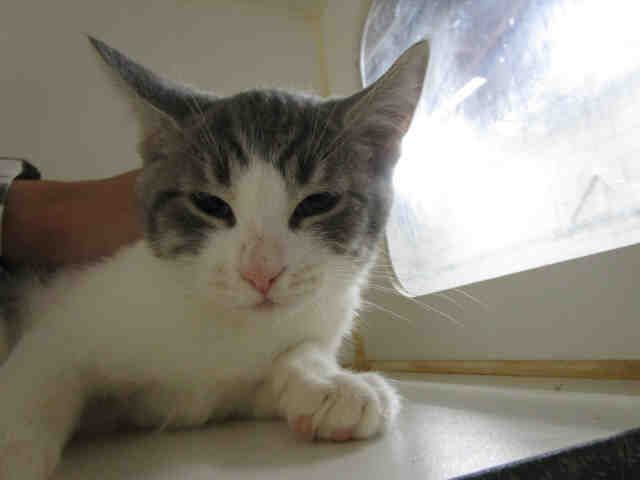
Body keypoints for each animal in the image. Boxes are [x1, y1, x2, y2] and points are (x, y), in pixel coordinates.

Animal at [0, 36, 429, 478]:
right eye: (209, 203)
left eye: (318, 202)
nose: (261, 272)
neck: (224, 323)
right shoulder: (72, 305)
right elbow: (43, 363)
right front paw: (13, 441)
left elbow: (295, 352)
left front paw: (329, 382)